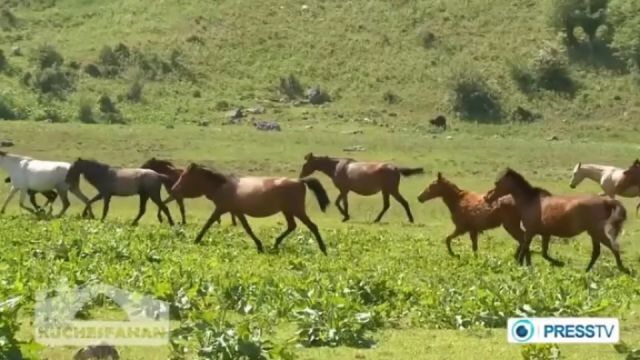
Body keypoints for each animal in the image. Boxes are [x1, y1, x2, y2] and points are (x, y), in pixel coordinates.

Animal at [170, 165, 330, 255]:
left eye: (184, 177)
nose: (173, 189)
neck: (222, 186)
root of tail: (300, 181)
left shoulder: (221, 208)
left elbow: (208, 223)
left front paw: (196, 240)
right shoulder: (237, 212)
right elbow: (247, 228)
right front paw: (259, 246)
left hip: (297, 210)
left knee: (312, 226)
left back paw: (323, 249)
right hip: (288, 211)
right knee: (292, 226)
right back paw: (275, 245)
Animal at [484, 167, 632, 274]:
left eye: (497, 183)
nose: (487, 197)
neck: (530, 202)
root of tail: (606, 201)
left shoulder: (530, 232)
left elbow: (526, 248)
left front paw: (521, 264)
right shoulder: (545, 234)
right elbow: (542, 253)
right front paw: (556, 263)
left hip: (596, 232)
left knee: (613, 247)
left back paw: (623, 269)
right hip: (593, 233)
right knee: (597, 252)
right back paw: (587, 270)